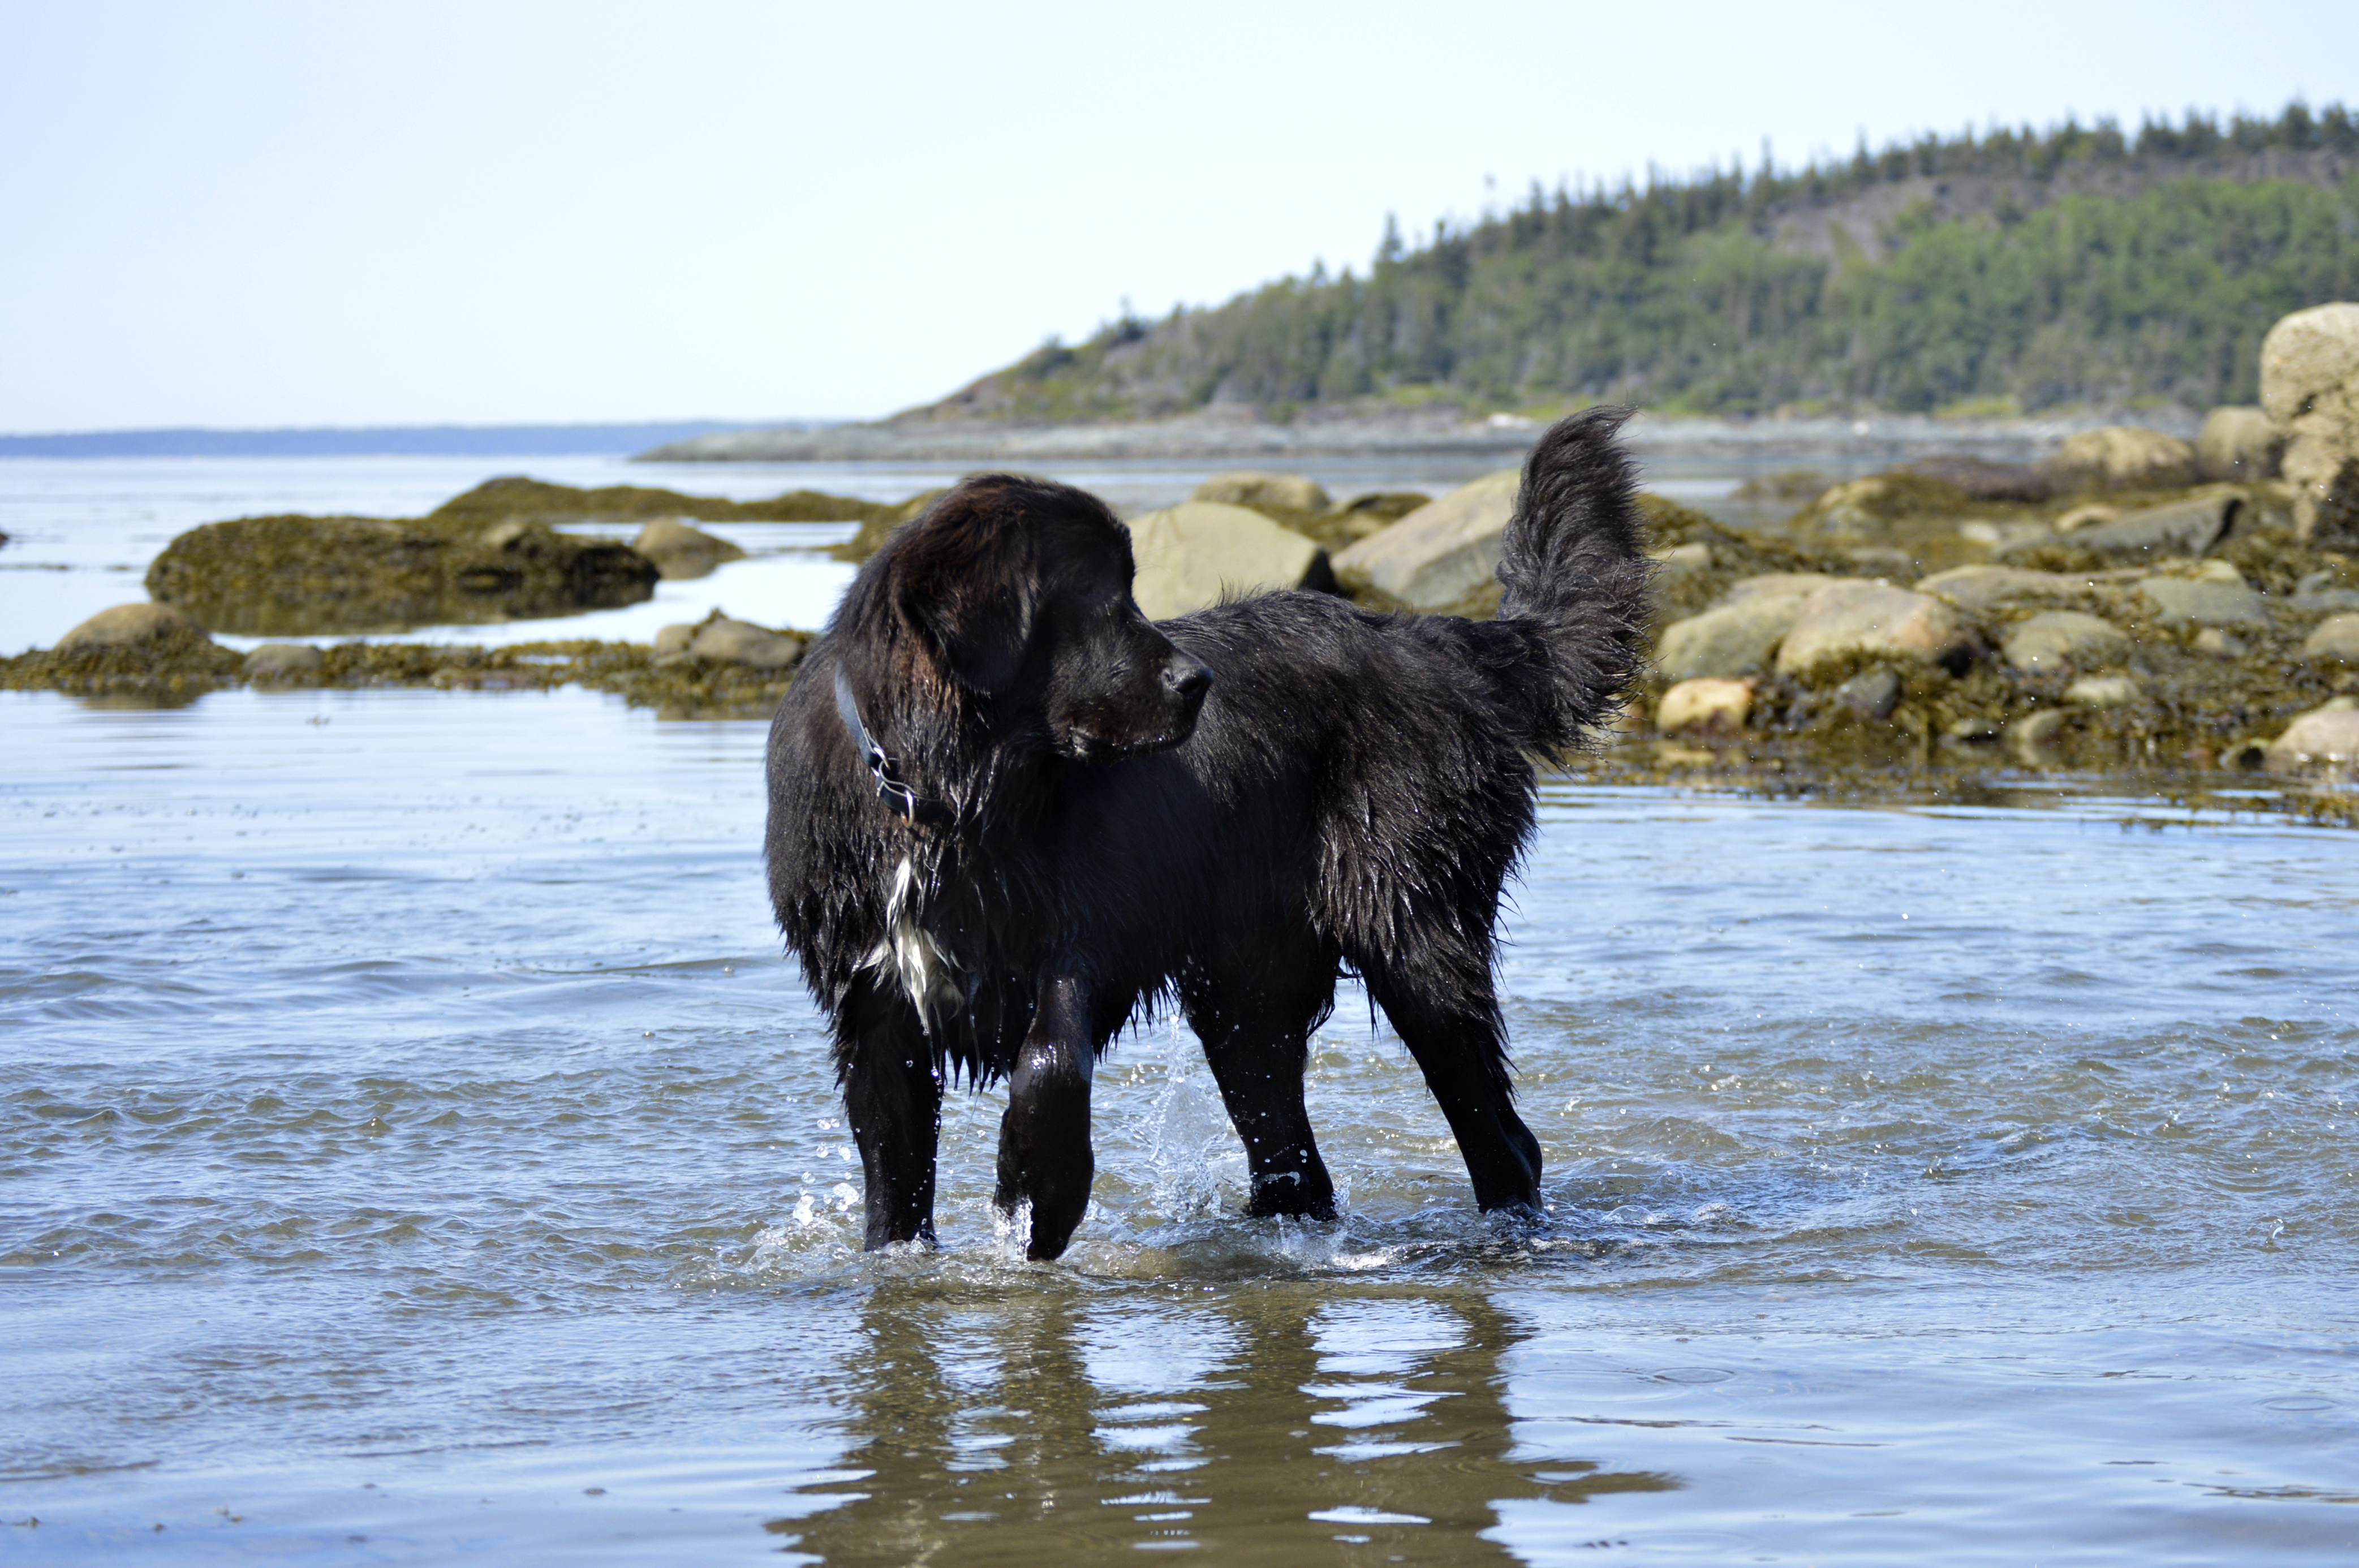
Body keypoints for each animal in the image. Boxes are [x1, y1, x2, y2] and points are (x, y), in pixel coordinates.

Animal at [764, 405, 1651, 1264]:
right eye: (1096, 597)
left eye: (1130, 591)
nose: (1198, 682)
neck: (941, 800)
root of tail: (1429, 639)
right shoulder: (874, 1005)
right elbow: (893, 1165)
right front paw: (901, 1259)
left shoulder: (1084, 933)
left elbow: (1049, 1061)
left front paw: (1035, 1197)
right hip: (1246, 994)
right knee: (1294, 1152)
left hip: (1412, 930)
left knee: (1498, 1133)